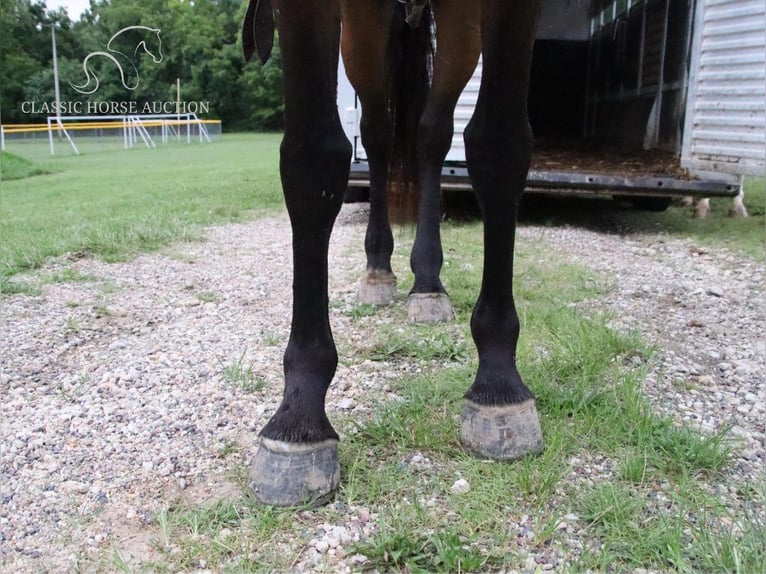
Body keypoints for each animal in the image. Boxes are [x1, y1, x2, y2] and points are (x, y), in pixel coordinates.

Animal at [243, 0, 544, 506]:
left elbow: (499, 145)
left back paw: (428, 281)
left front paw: (498, 382)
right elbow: (312, 157)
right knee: (377, 134)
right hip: (363, 27)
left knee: (433, 134)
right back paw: (378, 269)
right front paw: (298, 419)